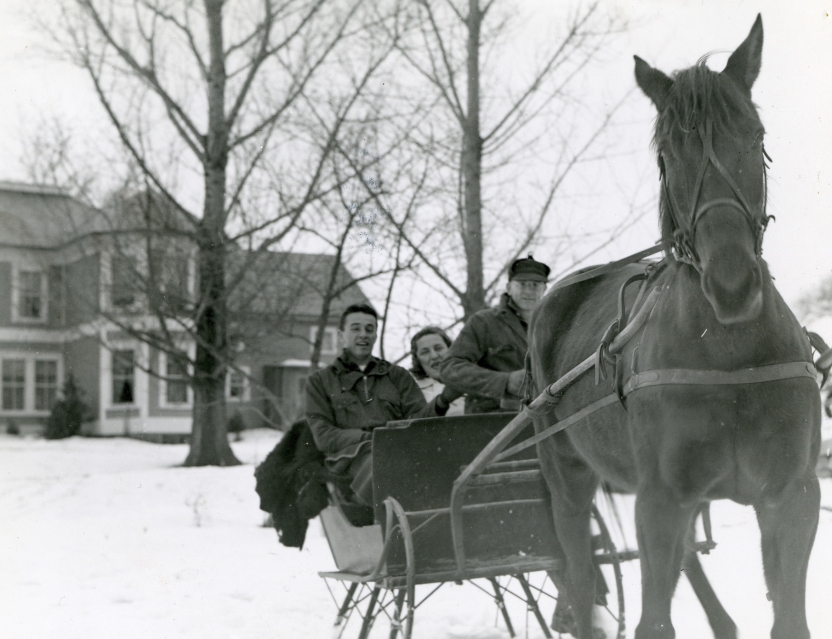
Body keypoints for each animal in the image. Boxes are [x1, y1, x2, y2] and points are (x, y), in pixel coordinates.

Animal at [528, 15, 824, 639]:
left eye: (756, 136)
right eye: (667, 154)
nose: (732, 283)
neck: (727, 352)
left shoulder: (791, 497)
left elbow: (788, 615)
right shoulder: (659, 501)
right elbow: (652, 620)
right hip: (567, 479)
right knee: (579, 570)